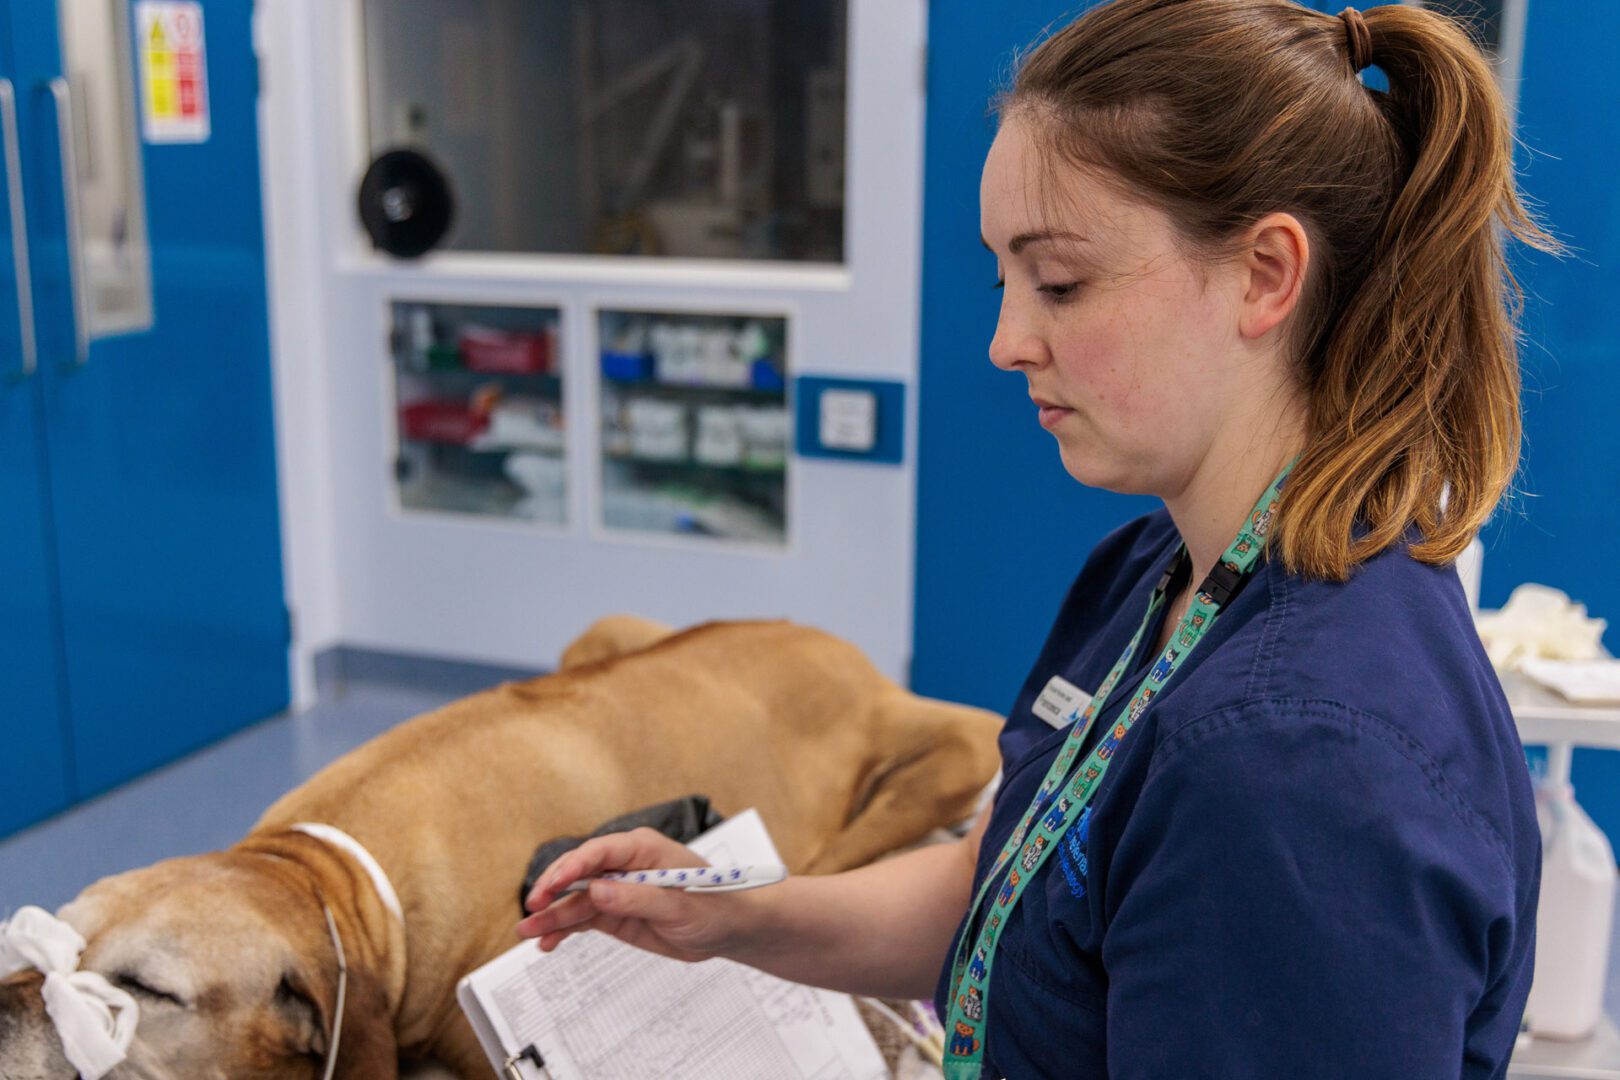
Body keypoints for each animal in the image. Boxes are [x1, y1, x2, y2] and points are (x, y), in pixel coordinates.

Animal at [0, 621, 1004, 1075]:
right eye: (45, 941)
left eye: (144, 991)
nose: (5, 1010)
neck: (341, 887)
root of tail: (858, 662)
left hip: (953, 754)